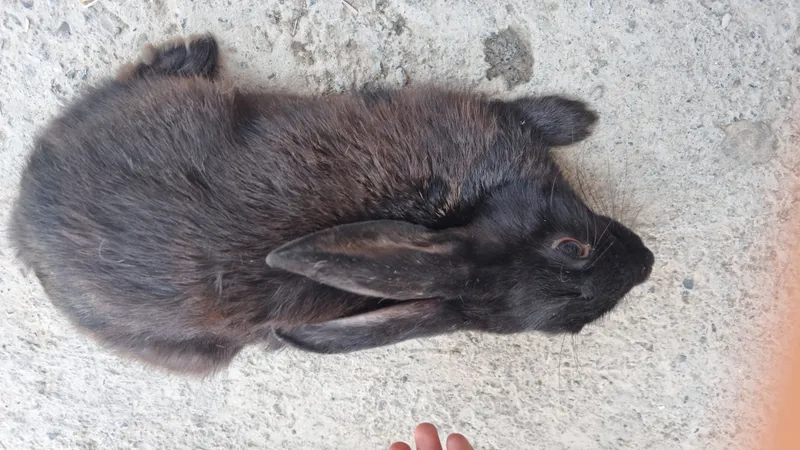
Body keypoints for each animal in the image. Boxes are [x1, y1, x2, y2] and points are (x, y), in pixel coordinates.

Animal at [9, 34, 654, 375]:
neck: (467, 209)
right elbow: (523, 112)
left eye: (574, 325)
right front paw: (578, 117)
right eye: (571, 248)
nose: (647, 261)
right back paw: (194, 51)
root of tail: (25, 224)